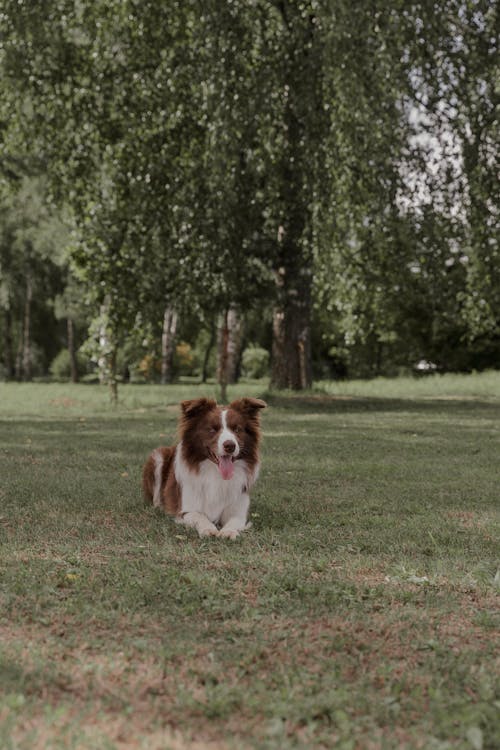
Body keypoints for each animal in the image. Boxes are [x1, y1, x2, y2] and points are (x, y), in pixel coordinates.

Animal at [142, 400, 266, 540]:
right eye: (212, 429)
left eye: (237, 429)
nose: (230, 445)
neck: (216, 474)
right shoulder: (186, 510)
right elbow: (199, 516)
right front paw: (208, 528)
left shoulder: (239, 510)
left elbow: (234, 520)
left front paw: (228, 531)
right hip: (157, 456)